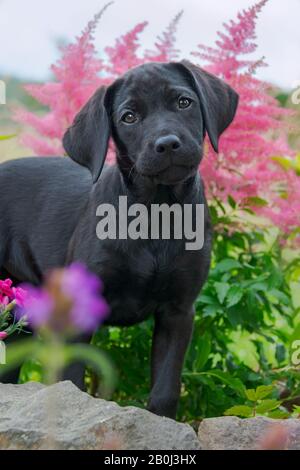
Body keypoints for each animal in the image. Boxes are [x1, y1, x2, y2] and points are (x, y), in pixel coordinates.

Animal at [0, 59, 239, 418]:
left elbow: (165, 390)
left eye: (184, 102)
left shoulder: (178, 311)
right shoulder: (77, 314)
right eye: (129, 117)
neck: (157, 212)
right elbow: (71, 382)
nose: (167, 143)